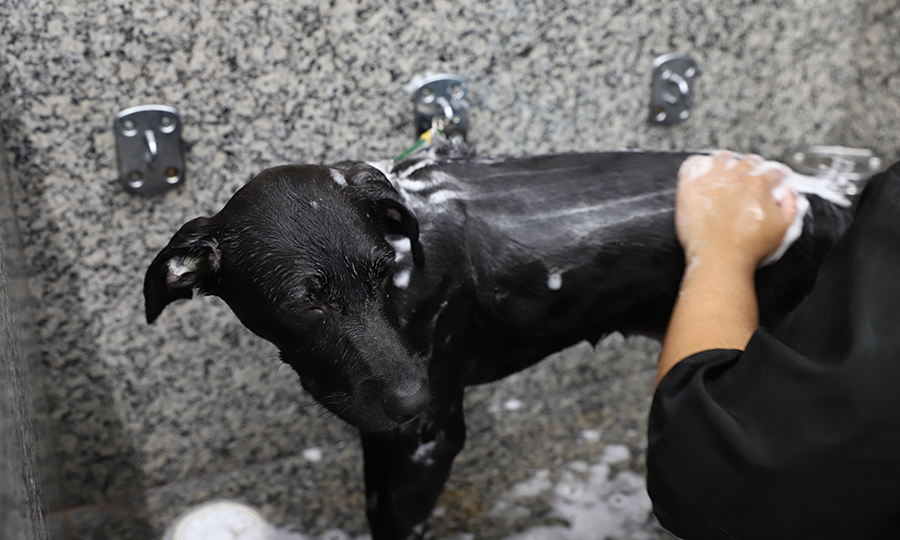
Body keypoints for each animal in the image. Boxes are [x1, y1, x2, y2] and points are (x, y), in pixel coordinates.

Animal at [146, 141, 852, 536]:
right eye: (304, 302)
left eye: (382, 273)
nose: (414, 401)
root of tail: (824, 202)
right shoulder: (386, 438)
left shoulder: (426, 443)